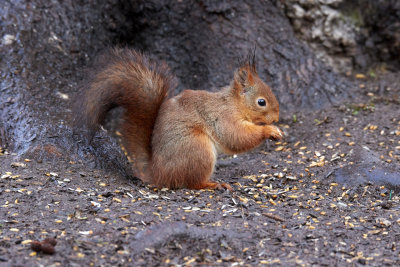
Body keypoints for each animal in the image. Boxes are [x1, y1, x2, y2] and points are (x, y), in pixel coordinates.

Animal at [74, 48, 282, 191]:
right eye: (261, 102)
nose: (277, 117)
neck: (234, 103)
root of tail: (157, 173)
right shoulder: (223, 117)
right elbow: (235, 137)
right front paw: (269, 131)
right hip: (197, 149)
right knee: (192, 182)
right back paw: (212, 184)